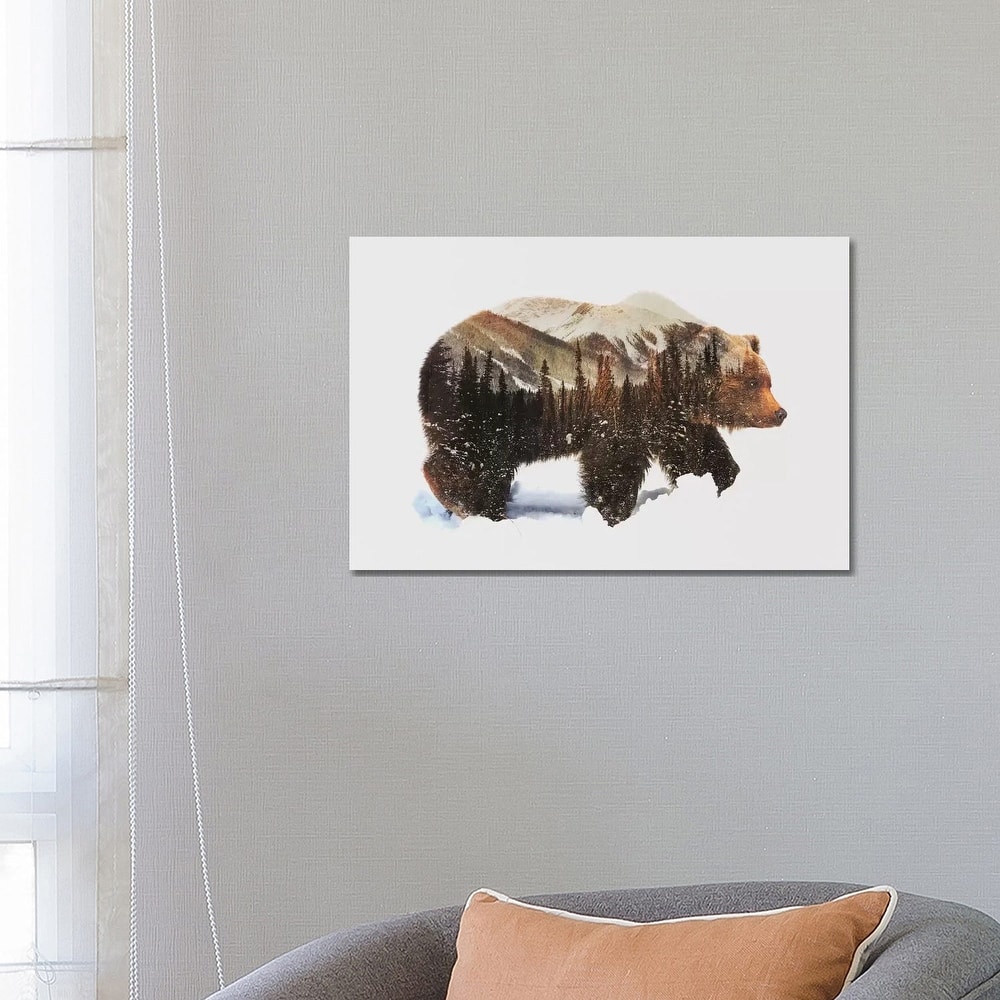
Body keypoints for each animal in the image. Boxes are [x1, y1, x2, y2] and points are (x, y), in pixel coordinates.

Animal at [418, 292, 786, 526]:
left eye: (768, 380)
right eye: (753, 382)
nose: (780, 413)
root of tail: (433, 352)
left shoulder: (671, 414)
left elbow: (697, 453)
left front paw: (724, 482)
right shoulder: (621, 398)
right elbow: (614, 461)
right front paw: (612, 511)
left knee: (492, 466)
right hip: (486, 398)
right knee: (470, 455)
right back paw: (466, 503)